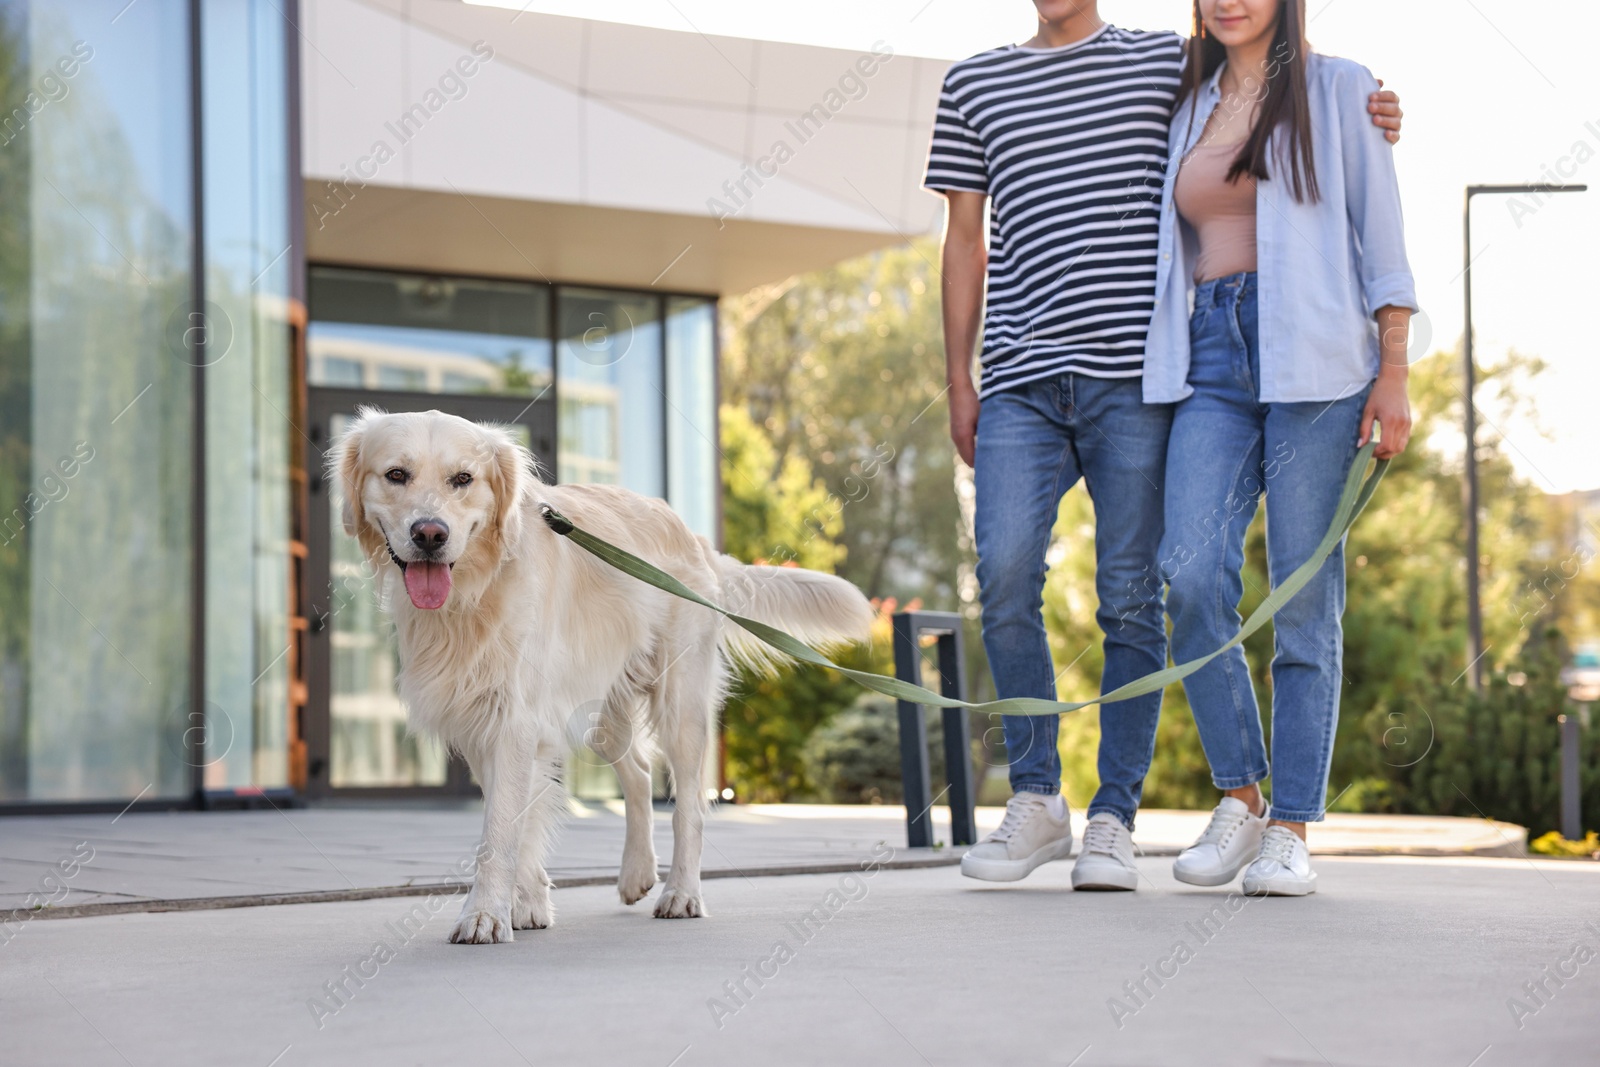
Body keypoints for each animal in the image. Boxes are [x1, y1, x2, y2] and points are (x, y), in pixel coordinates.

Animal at [328, 409, 876, 940]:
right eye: (395, 475)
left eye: (463, 478)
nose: (430, 534)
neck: (475, 591)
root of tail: (693, 536)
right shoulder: (487, 721)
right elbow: (522, 820)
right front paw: (529, 904)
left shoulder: (515, 720)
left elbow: (501, 831)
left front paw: (485, 914)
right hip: (600, 710)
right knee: (638, 773)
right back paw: (636, 872)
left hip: (680, 704)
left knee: (689, 807)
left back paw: (681, 893)